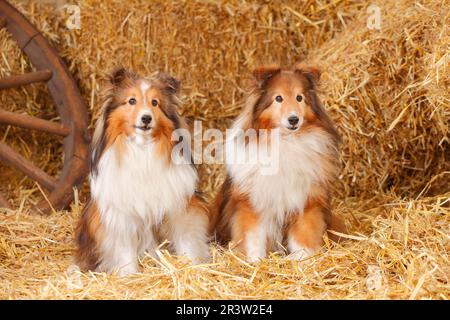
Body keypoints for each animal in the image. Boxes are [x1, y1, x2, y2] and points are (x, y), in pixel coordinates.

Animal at [75, 68, 214, 276]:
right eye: (131, 101)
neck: (142, 149)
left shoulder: (180, 208)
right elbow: (124, 251)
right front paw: (129, 275)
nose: (146, 118)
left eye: (155, 102)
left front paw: (190, 266)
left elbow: (186, 241)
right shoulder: (121, 217)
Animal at [214, 63, 344, 262]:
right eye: (278, 98)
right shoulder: (252, 203)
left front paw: (303, 261)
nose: (293, 119)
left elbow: (303, 238)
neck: (285, 141)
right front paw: (255, 262)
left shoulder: (306, 202)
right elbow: (254, 238)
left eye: (299, 97)